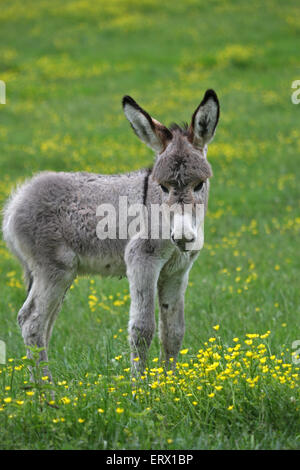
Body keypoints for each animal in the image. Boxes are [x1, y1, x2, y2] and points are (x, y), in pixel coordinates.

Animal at [2, 90, 220, 380]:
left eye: (200, 184)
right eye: (162, 187)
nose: (183, 237)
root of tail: (17, 199)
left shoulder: (177, 272)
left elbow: (173, 331)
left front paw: (170, 384)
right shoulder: (142, 260)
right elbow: (142, 328)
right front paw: (140, 386)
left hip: (58, 275)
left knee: (44, 323)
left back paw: (38, 385)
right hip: (54, 270)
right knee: (31, 321)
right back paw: (46, 389)